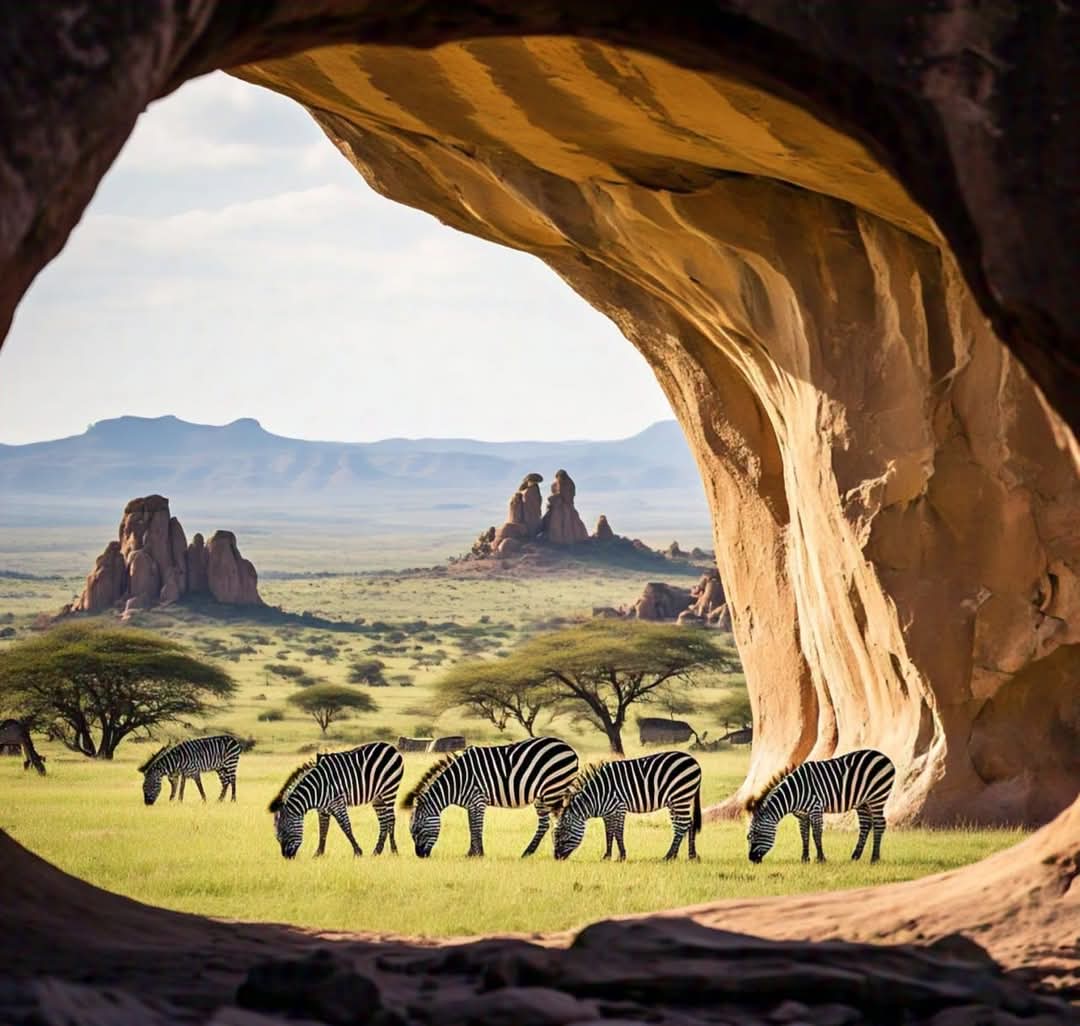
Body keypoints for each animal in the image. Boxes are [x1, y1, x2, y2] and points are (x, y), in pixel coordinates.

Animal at [268, 742, 403, 859]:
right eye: (277, 838)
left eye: (284, 833)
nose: (287, 858)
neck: (316, 789)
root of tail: (390, 746)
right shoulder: (322, 809)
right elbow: (323, 829)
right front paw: (318, 854)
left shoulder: (337, 802)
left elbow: (345, 826)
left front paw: (357, 852)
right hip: (377, 797)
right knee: (383, 821)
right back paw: (377, 851)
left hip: (389, 790)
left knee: (391, 819)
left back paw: (394, 851)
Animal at [403, 736, 579, 858]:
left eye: (416, 829)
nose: (420, 856)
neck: (456, 782)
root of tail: (570, 749)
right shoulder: (471, 804)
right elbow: (472, 826)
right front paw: (472, 852)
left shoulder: (477, 800)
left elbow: (476, 827)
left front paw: (477, 854)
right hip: (542, 795)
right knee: (545, 824)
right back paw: (530, 852)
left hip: (553, 790)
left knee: (554, 821)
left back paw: (548, 851)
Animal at [552, 750, 702, 861]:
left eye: (564, 834)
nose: (556, 858)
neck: (598, 795)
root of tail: (694, 761)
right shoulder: (608, 812)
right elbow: (609, 832)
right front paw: (607, 856)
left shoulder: (619, 808)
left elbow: (618, 832)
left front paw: (622, 856)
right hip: (676, 801)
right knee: (686, 824)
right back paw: (688, 856)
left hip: (680, 797)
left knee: (682, 825)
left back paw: (668, 856)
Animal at [745, 748, 896, 863]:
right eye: (748, 837)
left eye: (756, 834)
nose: (752, 859)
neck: (795, 793)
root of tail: (884, 756)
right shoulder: (802, 814)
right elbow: (804, 835)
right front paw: (805, 859)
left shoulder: (815, 808)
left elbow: (816, 834)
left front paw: (821, 859)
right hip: (862, 802)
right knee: (865, 825)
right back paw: (855, 856)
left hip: (877, 797)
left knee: (879, 824)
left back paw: (874, 858)